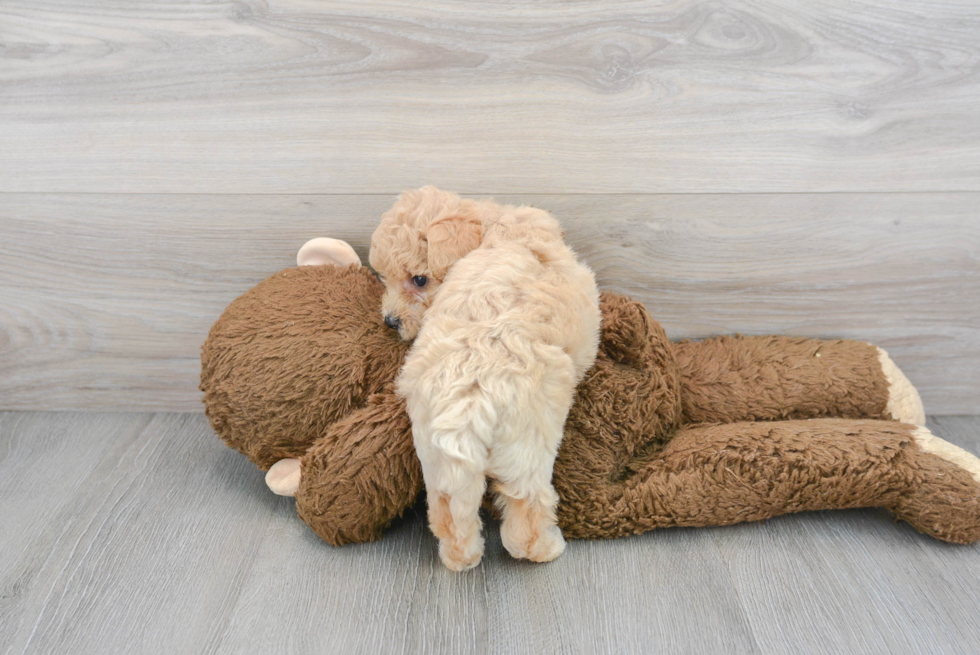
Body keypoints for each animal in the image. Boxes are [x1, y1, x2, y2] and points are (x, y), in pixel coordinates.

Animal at [372, 187, 600, 572]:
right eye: (382, 278)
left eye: (419, 280)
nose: (390, 321)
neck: (496, 227)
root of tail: (468, 400)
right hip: (526, 449)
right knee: (526, 509)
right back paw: (544, 548)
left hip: (436, 457)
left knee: (449, 511)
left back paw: (459, 557)